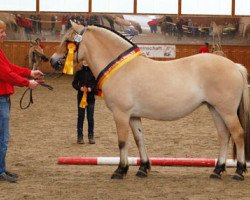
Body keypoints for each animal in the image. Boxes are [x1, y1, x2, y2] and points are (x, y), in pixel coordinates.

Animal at [50, 21, 250, 181]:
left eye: (68, 41)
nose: (53, 61)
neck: (120, 68)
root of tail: (234, 66)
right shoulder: (133, 116)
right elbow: (139, 139)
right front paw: (143, 168)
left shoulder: (121, 114)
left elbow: (122, 142)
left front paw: (120, 170)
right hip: (215, 109)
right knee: (224, 135)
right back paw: (217, 170)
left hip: (226, 111)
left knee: (238, 134)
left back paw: (239, 172)